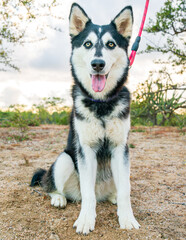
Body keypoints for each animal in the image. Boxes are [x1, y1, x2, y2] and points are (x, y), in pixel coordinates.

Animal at [30, 1, 140, 234]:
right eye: (88, 44)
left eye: (110, 44)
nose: (97, 64)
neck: (101, 103)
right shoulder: (86, 150)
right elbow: (88, 194)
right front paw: (86, 220)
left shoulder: (121, 149)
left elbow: (126, 191)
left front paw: (127, 218)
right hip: (64, 160)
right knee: (53, 186)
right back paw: (58, 198)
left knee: (117, 188)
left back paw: (113, 197)